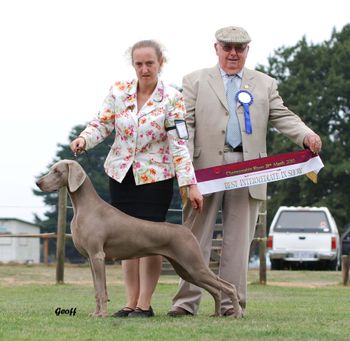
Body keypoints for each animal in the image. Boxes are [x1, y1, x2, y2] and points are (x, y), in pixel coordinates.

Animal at [36, 158, 243, 318]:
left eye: (57, 171)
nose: (38, 183)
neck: (84, 207)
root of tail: (185, 229)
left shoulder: (98, 256)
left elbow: (102, 290)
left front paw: (102, 315)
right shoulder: (90, 259)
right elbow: (97, 289)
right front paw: (96, 313)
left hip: (194, 264)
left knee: (228, 286)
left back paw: (237, 313)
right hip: (185, 269)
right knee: (216, 289)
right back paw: (216, 313)